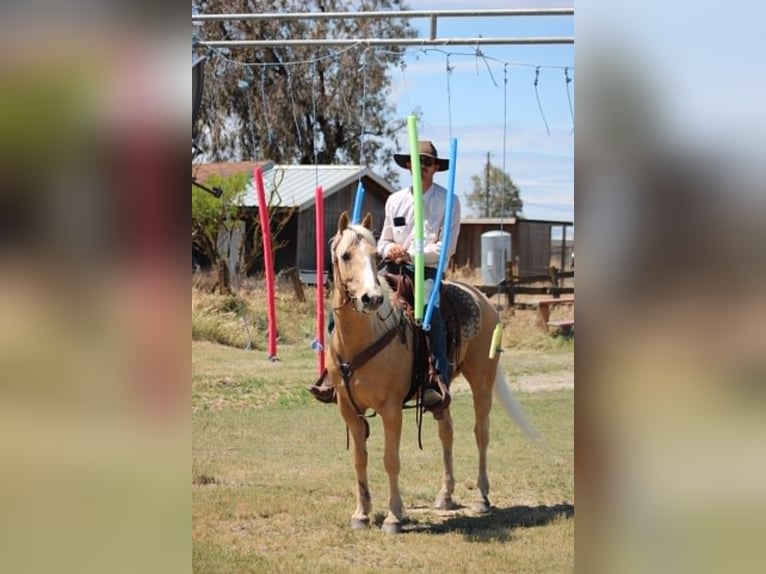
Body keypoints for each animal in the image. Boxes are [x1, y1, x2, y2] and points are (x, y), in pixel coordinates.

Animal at [326, 211, 534, 534]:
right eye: (346, 255)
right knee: (446, 432)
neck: (364, 337)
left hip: (482, 381)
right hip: (441, 390)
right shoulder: (348, 409)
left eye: (375, 256)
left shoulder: (391, 409)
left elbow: (391, 459)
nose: (371, 298)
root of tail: (482, 298)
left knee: (481, 432)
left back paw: (482, 498)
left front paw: (393, 517)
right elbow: (360, 459)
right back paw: (445, 496)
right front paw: (361, 514)